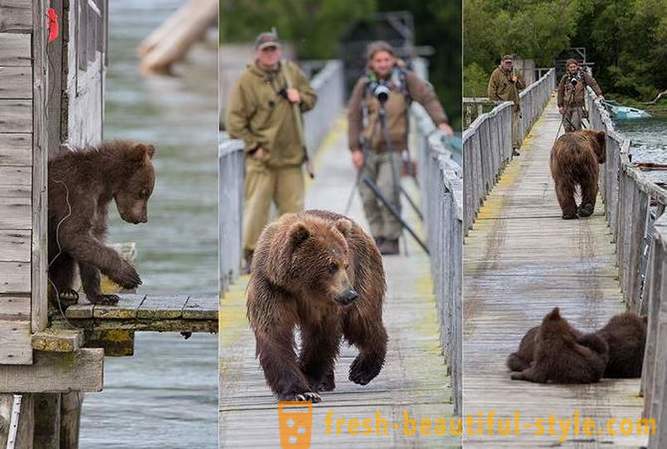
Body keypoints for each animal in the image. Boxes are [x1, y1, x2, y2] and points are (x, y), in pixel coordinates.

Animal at [49, 142, 156, 306]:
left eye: (148, 192)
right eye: (144, 192)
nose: (143, 218)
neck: (103, 183)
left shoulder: (98, 206)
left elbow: (91, 241)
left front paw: (103, 296)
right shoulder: (76, 193)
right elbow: (73, 233)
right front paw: (129, 275)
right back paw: (65, 293)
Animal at [248, 208, 388, 400]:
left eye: (345, 265)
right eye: (331, 266)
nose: (350, 294)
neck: (301, 285)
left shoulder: (325, 302)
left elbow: (321, 335)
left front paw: (308, 376)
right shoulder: (272, 287)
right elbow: (275, 332)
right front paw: (300, 391)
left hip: (364, 273)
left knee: (361, 319)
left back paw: (361, 371)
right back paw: (327, 381)